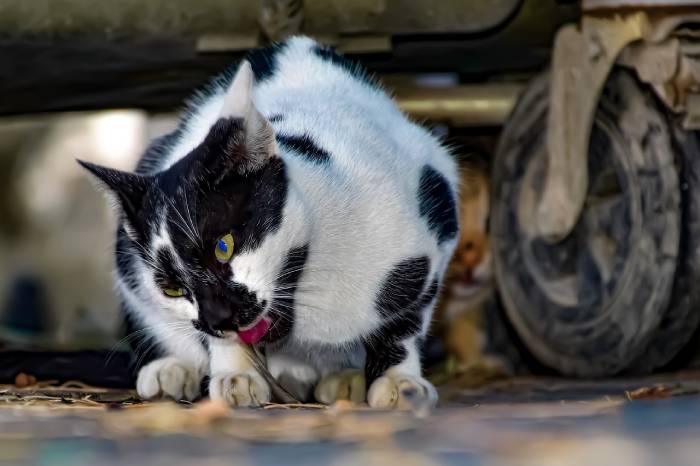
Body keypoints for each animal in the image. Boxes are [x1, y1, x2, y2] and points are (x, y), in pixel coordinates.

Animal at [80, 37, 460, 408]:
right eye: (172, 289)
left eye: (224, 247)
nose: (217, 319)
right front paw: (236, 375)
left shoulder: (436, 204)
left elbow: (406, 322)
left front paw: (399, 381)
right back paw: (170, 370)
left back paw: (343, 378)